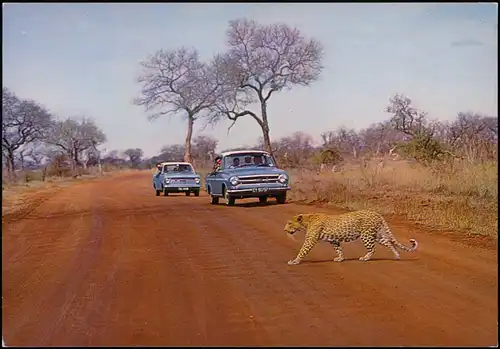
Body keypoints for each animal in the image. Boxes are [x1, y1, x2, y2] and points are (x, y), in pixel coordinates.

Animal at [286, 209, 418, 264]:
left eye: (289, 223)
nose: (284, 230)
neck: (306, 221)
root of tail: (376, 213)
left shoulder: (311, 240)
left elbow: (303, 250)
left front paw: (295, 261)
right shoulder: (334, 240)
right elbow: (339, 249)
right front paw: (340, 258)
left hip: (366, 235)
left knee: (373, 249)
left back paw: (365, 258)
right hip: (378, 235)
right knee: (389, 242)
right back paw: (397, 256)